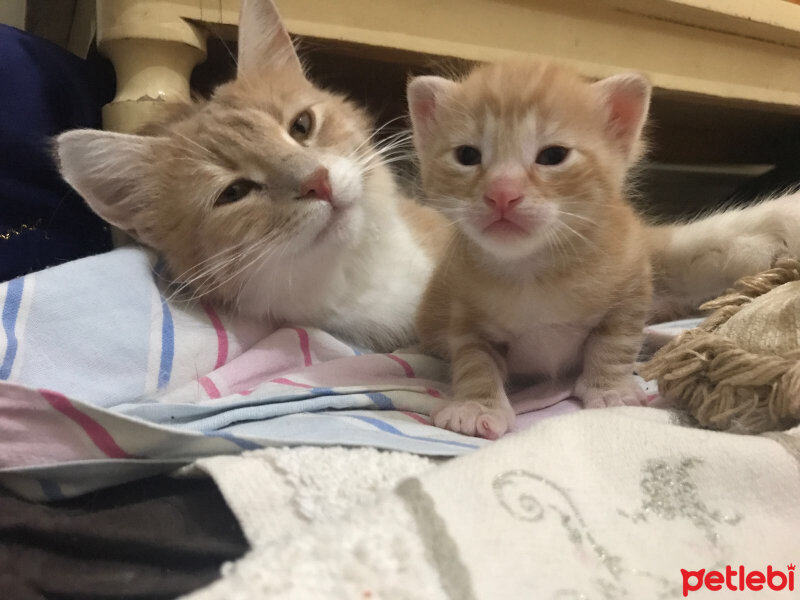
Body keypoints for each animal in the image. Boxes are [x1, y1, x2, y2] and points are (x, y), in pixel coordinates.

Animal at [410, 61, 652, 438]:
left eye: (553, 156)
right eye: (467, 155)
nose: (501, 193)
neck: (531, 270)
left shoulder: (632, 286)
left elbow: (617, 343)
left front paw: (610, 389)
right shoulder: (465, 312)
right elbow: (473, 362)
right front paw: (476, 406)